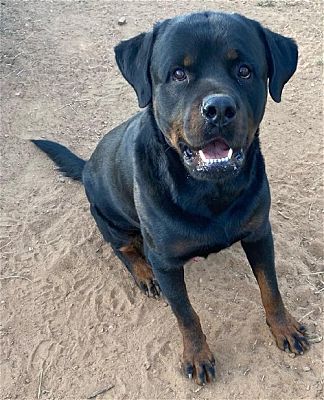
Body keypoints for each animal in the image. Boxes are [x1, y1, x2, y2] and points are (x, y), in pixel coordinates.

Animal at [32, 12, 308, 386]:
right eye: (178, 73)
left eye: (245, 71)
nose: (219, 108)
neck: (209, 192)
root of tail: (87, 164)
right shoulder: (165, 261)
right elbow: (187, 314)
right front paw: (197, 355)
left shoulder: (259, 233)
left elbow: (271, 288)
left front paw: (283, 327)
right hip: (108, 217)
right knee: (123, 249)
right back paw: (142, 273)